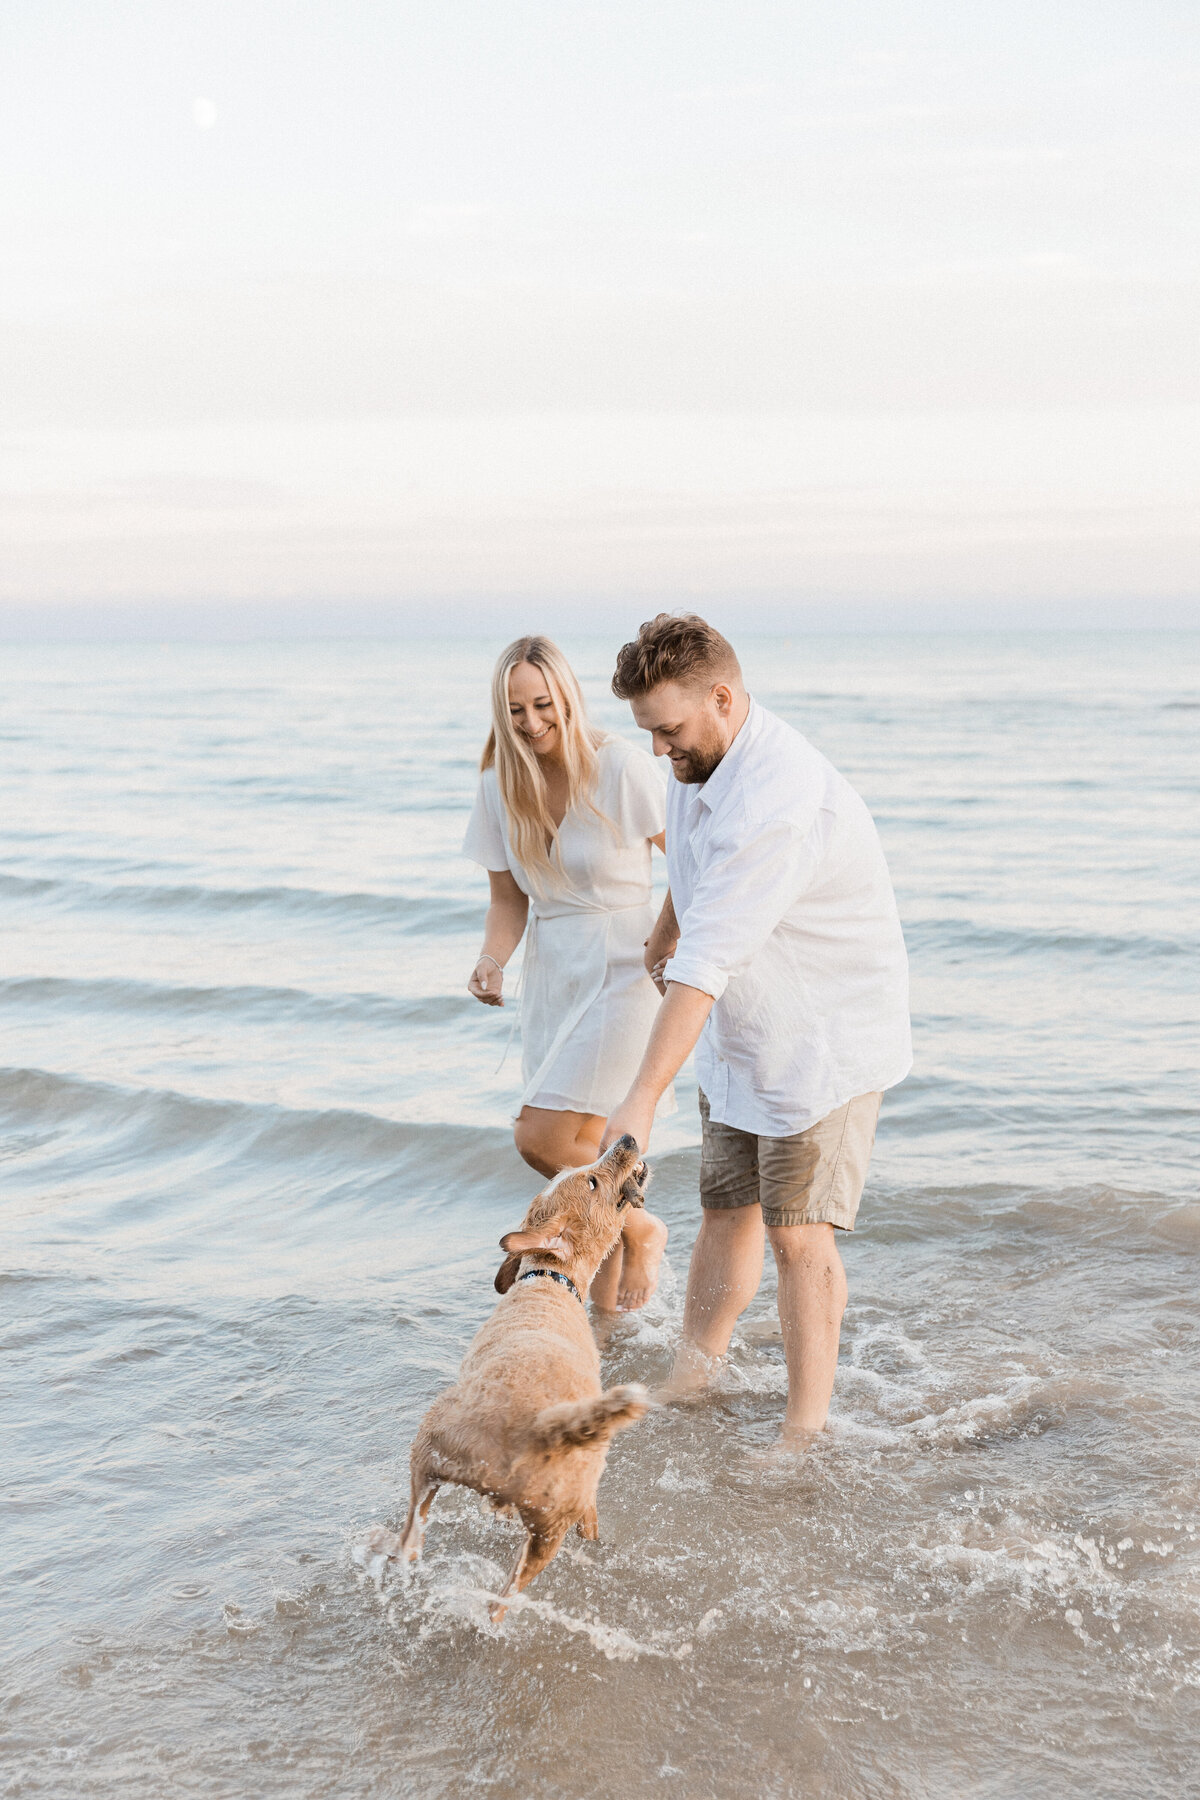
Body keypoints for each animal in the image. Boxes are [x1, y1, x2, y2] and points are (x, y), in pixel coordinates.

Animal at [368, 1137, 658, 1620]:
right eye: (592, 1181)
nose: (627, 1140)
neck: (548, 1281)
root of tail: (542, 1426)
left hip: (448, 1466)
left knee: (433, 1548)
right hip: (454, 1451)